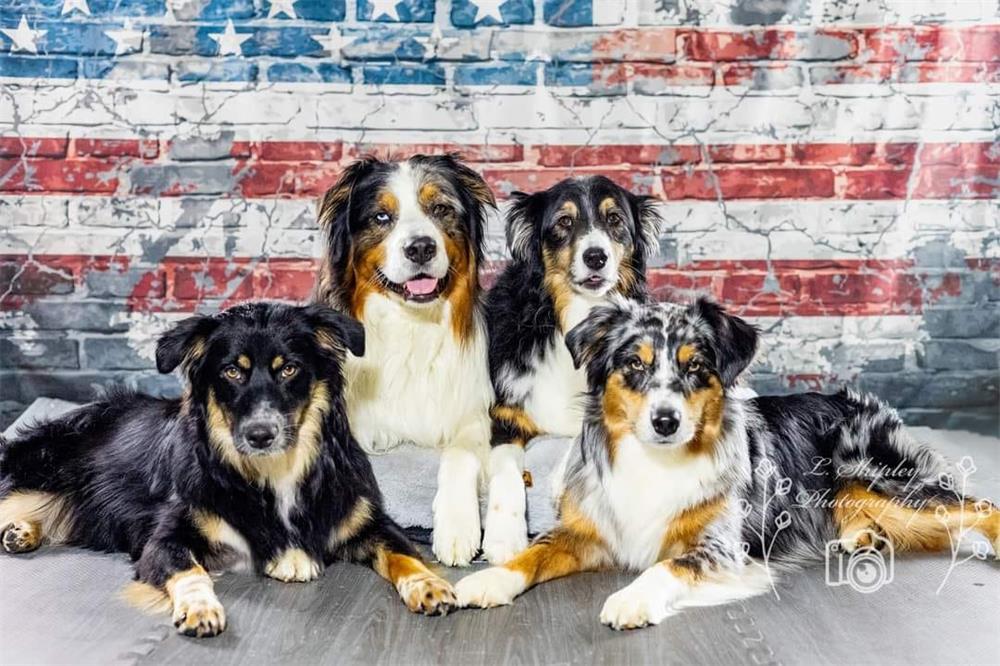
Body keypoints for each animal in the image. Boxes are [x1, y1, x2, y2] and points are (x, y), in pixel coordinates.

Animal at [314, 156, 494, 564]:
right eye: (382, 216)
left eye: (441, 209)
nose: (421, 248)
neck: (412, 325)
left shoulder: (473, 412)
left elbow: (460, 454)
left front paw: (457, 528)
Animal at [458, 298, 1000, 632]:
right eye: (634, 364)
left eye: (695, 366)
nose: (665, 420)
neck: (656, 462)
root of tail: (859, 400)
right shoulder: (589, 530)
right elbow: (534, 552)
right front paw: (490, 579)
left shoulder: (722, 550)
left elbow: (669, 565)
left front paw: (631, 598)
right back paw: (862, 536)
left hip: (882, 479)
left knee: (978, 506)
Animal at [478, 175, 660, 560]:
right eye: (564, 221)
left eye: (614, 220)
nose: (596, 256)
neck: (578, 312)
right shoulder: (503, 413)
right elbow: (504, 464)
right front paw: (503, 536)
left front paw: (562, 479)